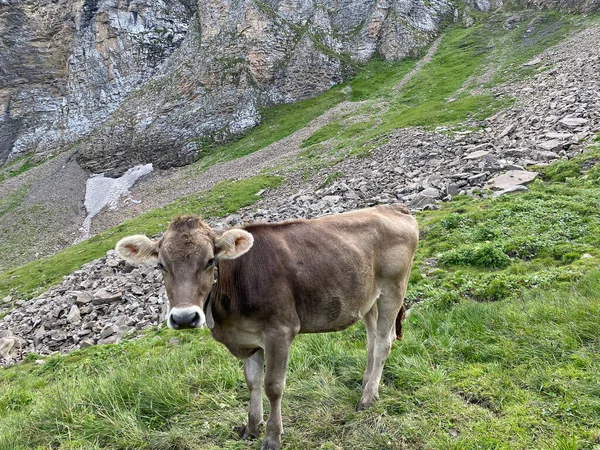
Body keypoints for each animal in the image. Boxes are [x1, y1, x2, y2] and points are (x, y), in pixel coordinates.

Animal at [116, 205, 418, 450]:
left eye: (210, 261)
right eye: (161, 265)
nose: (183, 318)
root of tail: (392, 207)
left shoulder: (280, 332)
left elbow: (273, 385)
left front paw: (272, 437)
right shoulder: (249, 338)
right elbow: (252, 382)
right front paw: (251, 427)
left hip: (394, 286)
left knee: (383, 341)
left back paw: (367, 398)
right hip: (367, 298)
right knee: (372, 339)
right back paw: (367, 383)